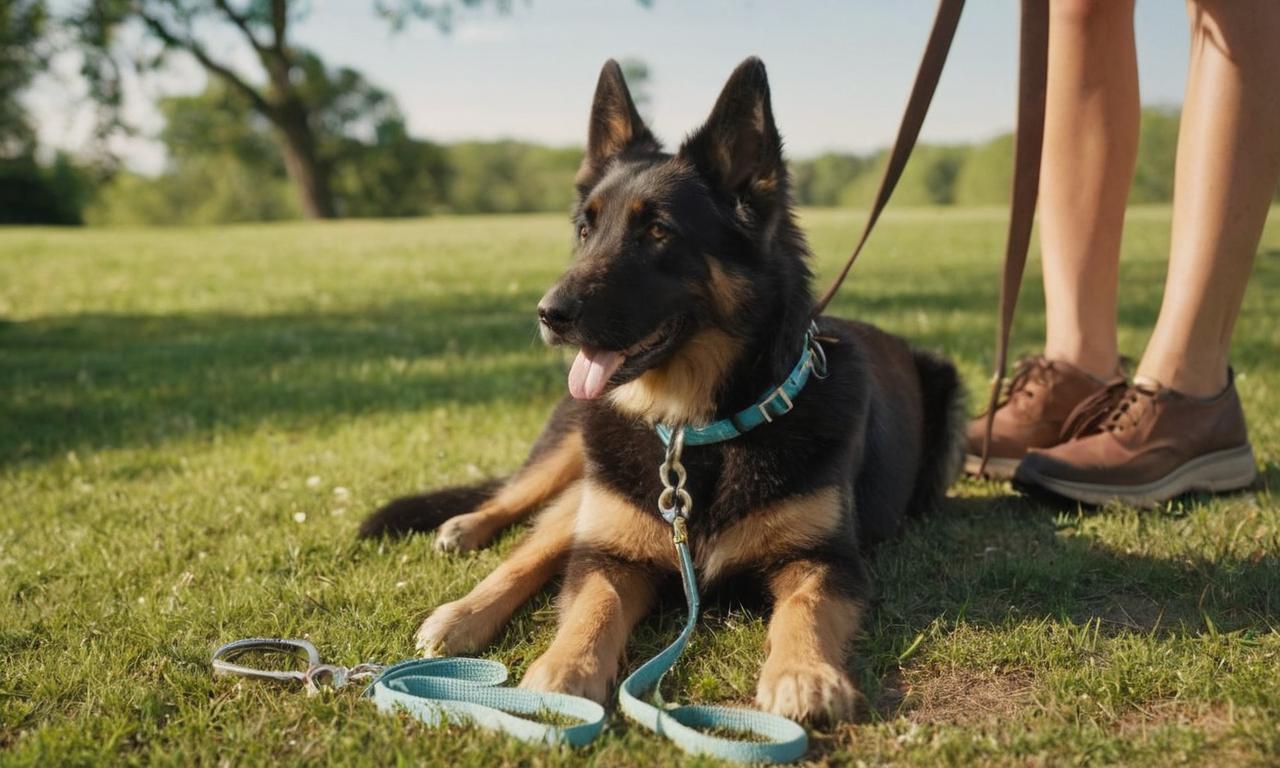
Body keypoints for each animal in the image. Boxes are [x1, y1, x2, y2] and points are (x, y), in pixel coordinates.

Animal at [358, 58, 962, 721]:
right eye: (585, 229)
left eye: (657, 231)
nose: (548, 314)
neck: (697, 431)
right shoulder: (610, 553)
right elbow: (592, 606)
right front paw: (564, 668)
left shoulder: (824, 561)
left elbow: (805, 608)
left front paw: (804, 672)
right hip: (582, 467)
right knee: (528, 532)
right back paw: (463, 591)